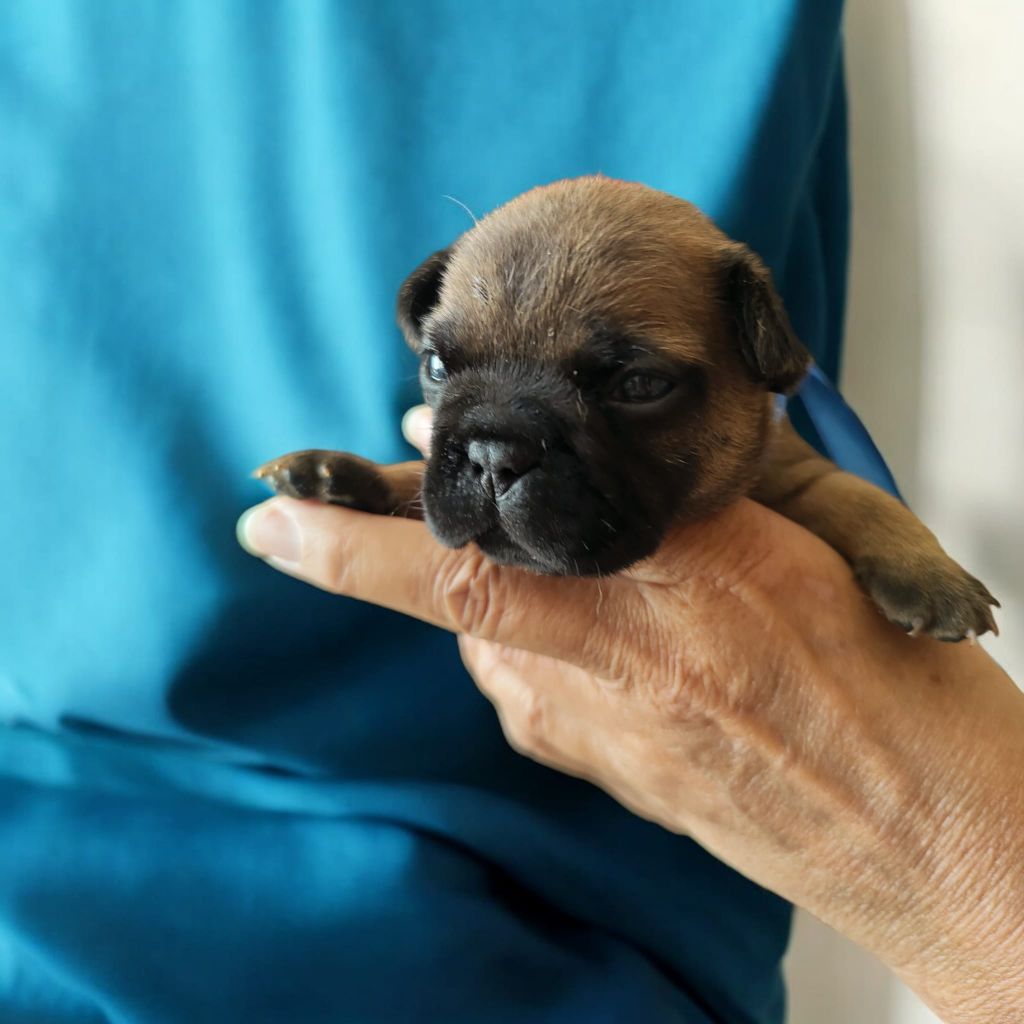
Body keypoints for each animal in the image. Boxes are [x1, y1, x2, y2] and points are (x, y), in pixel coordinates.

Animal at [256, 176, 999, 638]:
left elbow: (862, 497)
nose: (494, 453)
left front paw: (929, 571)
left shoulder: (796, 473)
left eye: (639, 387)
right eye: (437, 368)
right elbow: (417, 479)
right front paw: (343, 473)